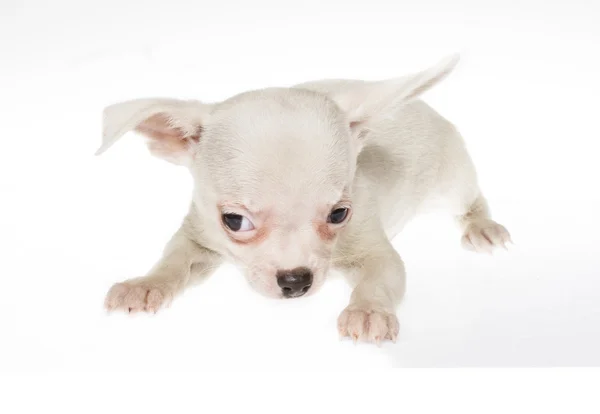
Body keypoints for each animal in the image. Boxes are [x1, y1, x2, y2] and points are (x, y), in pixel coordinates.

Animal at [98, 55, 510, 346]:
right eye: (234, 221)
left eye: (339, 214)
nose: (296, 281)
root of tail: (422, 106)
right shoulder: (199, 236)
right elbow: (174, 262)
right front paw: (146, 285)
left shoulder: (375, 250)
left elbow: (381, 279)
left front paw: (368, 310)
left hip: (451, 181)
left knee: (471, 198)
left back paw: (482, 226)